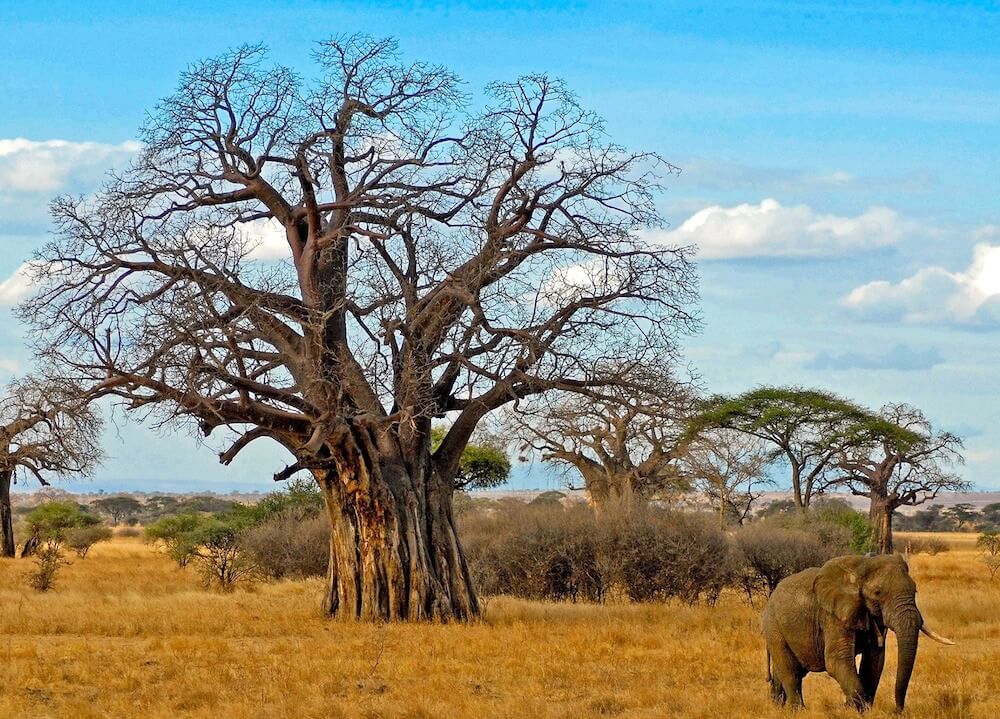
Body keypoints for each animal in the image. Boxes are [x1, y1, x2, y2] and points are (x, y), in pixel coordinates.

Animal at [762, 554, 953, 712]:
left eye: (915, 590)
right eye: (877, 593)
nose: (897, 710)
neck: (861, 567)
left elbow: (874, 660)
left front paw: (858, 709)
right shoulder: (833, 615)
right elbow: (836, 661)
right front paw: (850, 708)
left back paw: (777, 707)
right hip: (774, 627)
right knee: (791, 673)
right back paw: (798, 711)